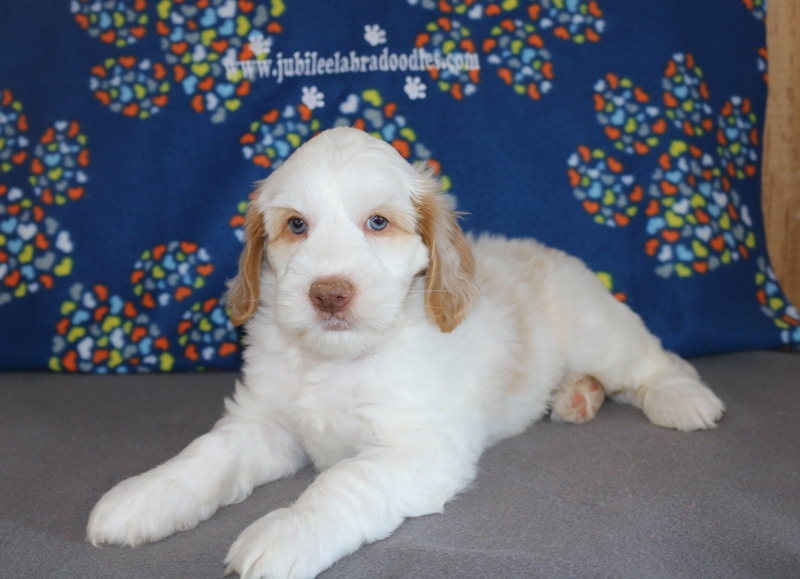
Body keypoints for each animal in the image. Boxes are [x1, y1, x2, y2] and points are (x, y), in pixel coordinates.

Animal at [87, 127, 725, 579]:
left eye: (377, 222)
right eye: (296, 225)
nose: (329, 293)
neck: (334, 361)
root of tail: (552, 253)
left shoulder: (419, 448)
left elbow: (342, 483)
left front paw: (285, 532)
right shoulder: (262, 424)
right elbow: (206, 456)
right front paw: (144, 495)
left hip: (600, 330)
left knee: (653, 362)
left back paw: (683, 400)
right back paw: (575, 396)